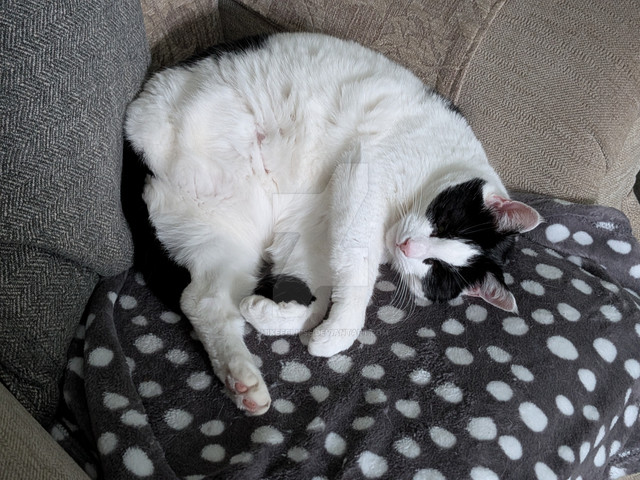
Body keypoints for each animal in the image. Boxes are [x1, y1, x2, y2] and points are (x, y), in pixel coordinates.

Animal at [125, 32, 541, 416]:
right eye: (444, 223)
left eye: (435, 270)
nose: (408, 247)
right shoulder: (361, 184)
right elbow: (355, 278)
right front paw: (335, 335)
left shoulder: (315, 228)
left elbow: (316, 297)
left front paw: (269, 313)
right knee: (198, 300)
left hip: (227, 238)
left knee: (204, 301)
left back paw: (243, 383)